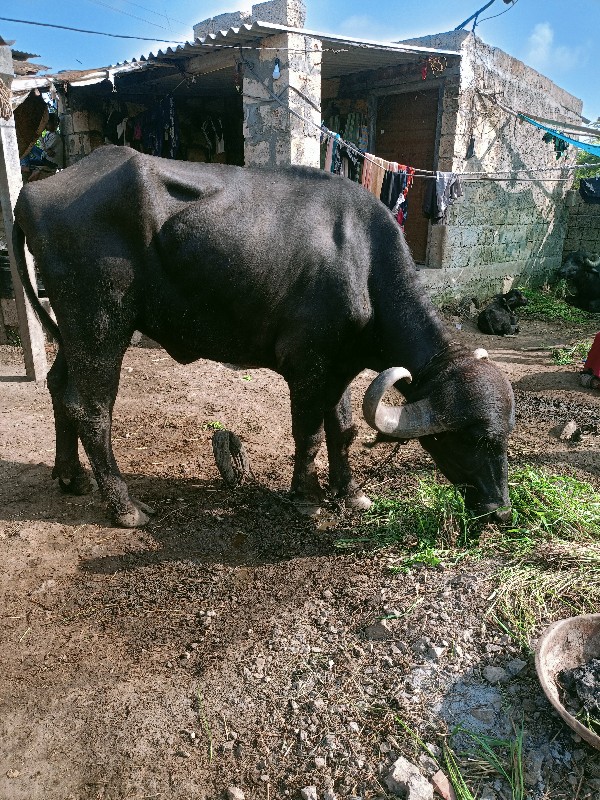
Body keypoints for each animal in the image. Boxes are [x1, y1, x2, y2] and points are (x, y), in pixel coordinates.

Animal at [11, 147, 512, 528]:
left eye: (505, 437)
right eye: (472, 439)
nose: (500, 511)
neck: (361, 262)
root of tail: (32, 192)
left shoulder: (340, 367)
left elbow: (344, 429)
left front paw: (349, 491)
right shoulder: (307, 368)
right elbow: (309, 433)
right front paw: (306, 497)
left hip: (76, 331)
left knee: (60, 388)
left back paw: (72, 477)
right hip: (101, 323)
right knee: (92, 410)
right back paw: (126, 507)